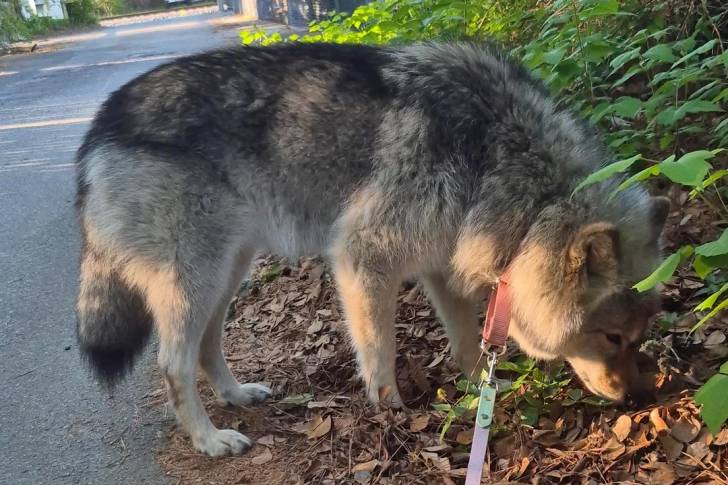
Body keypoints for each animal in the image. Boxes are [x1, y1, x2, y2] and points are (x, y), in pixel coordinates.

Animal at [75, 42, 668, 456]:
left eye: (639, 337)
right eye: (612, 337)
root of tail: (100, 125)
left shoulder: (446, 266)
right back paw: (209, 439)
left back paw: (237, 396)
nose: (639, 399)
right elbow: (380, 351)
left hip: (228, 271)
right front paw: (393, 413)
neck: (499, 158)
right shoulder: (363, 257)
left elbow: (468, 345)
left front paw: (479, 393)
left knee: (205, 346)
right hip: (197, 279)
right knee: (172, 364)